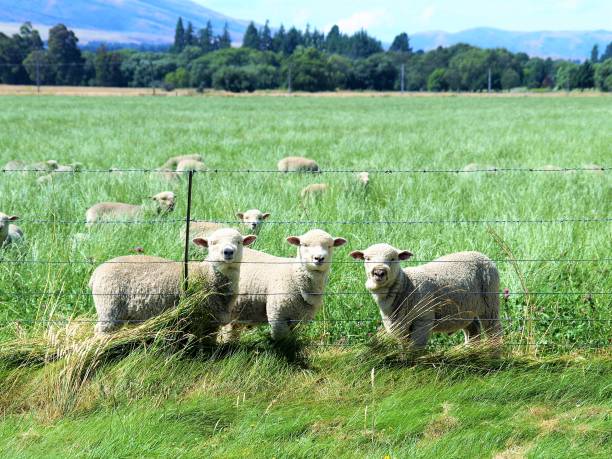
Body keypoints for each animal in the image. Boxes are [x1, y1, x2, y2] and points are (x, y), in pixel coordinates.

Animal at [88, 229, 256, 334]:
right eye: (212, 243)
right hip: (109, 305)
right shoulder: (199, 318)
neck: (207, 275)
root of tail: (97, 272)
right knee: (101, 331)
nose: (228, 252)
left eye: (239, 242)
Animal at [350, 246, 502, 350]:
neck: (406, 285)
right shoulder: (399, 326)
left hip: (490, 302)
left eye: (393, 259)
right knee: (473, 330)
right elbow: (404, 348)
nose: (379, 272)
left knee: (494, 331)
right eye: (367, 258)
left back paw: (494, 355)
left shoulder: (422, 320)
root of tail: (481, 254)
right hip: (465, 309)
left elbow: (415, 349)